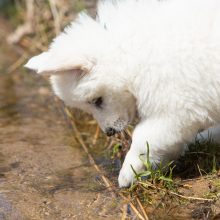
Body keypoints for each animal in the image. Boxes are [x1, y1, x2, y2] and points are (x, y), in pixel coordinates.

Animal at [24, 0, 220, 187]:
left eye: (97, 101)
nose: (109, 133)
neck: (132, 56)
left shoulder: (176, 108)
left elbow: (143, 137)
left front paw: (129, 173)